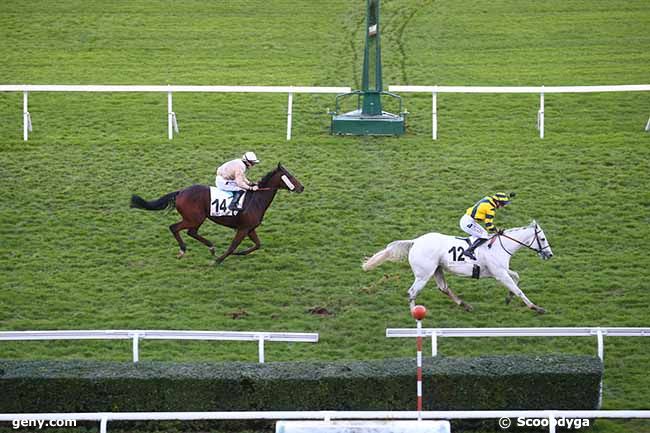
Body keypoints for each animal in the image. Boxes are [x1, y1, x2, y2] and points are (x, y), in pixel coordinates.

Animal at [132, 163, 306, 262]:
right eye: (289, 176)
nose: (301, 187)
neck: (257, 199)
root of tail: (180, 192)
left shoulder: (250, 228)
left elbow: (257, 245)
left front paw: (240, 253)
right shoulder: (243, 228)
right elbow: (233, 246)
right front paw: (219, 260)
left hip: (197, 219)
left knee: (191, 232)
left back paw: (210, 247)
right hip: (194, 218)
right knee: (175, 228)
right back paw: (184, 250)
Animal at [360, 221, 552, 312]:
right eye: (542, 239)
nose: (549, 254)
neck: (499, 245)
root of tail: (415, 241)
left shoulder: (499, 271)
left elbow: (516, 277)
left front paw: (508, 297)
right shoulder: (499, 273)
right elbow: (518, 289)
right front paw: (535, 307)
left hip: (437, 270)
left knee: (443, 288)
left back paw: (465, 305)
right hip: (424, 274)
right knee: (412, 292)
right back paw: (414, 314)